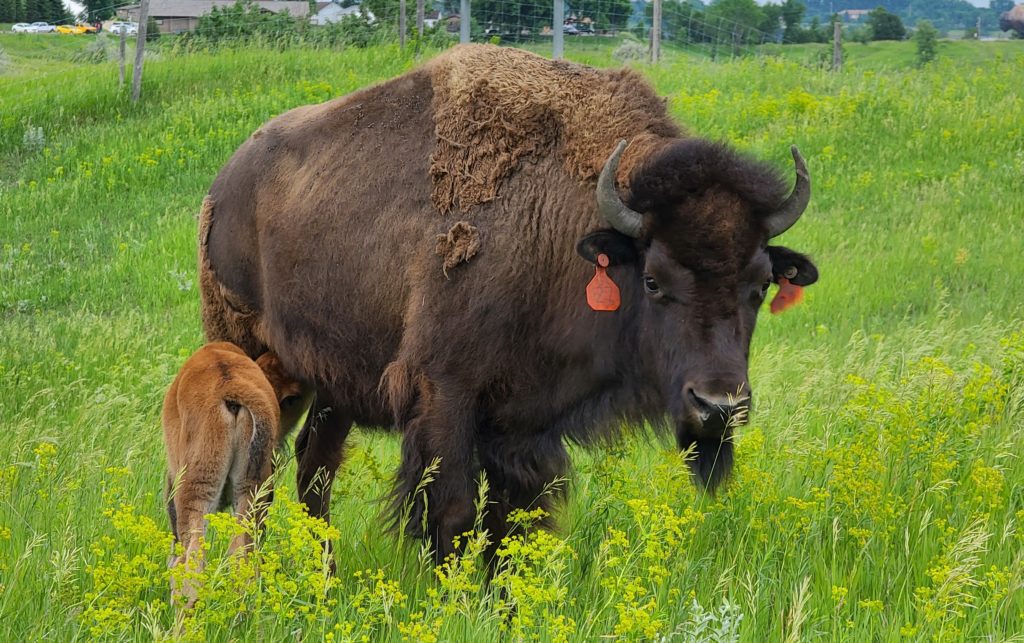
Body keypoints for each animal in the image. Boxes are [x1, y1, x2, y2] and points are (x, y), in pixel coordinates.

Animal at [198, 45, 819, 562]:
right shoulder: (446, 394)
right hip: (244, 350)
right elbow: (451, 515)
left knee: (314, 466)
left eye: (760, 284)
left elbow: (512, 524)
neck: (563, 229)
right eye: (653, 281)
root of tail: (226, 180)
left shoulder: (523, 423)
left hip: (331, 383)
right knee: (259, 470)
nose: (719, 406)